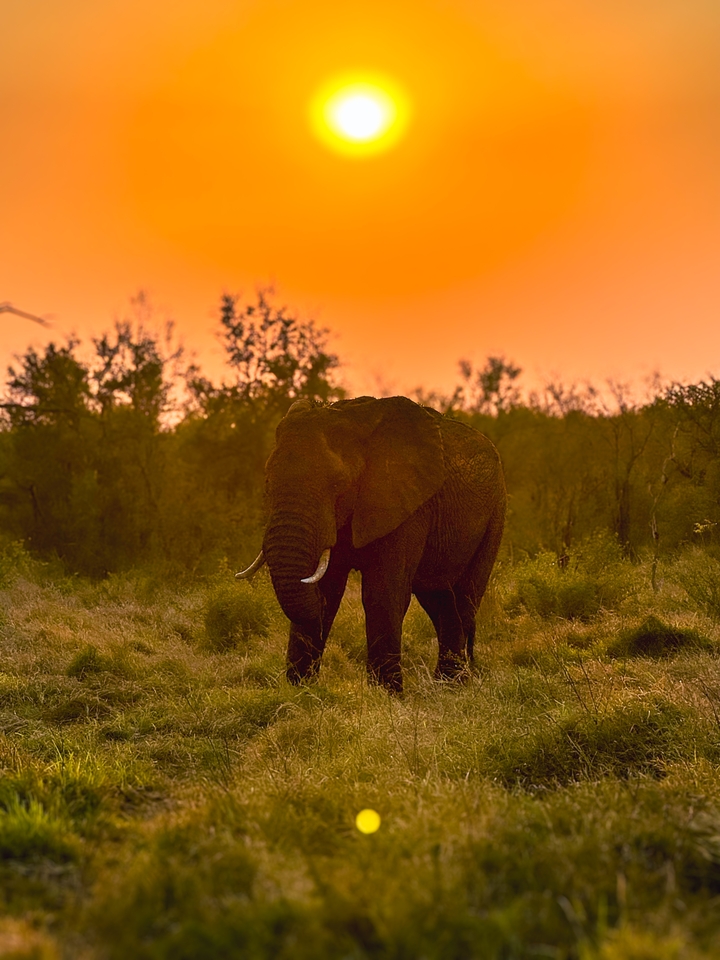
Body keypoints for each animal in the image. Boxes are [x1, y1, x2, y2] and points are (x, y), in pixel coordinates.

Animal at [236, 396, 506, 693]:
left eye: (338, 483)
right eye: (268, 480)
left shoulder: (404, 506)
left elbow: (382, 593)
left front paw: (386, 695)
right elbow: (328, 587)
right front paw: (301, 690)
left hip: (495, 512)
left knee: (466, 597)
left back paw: (454, 685)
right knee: (439, 599)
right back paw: (447, 686)